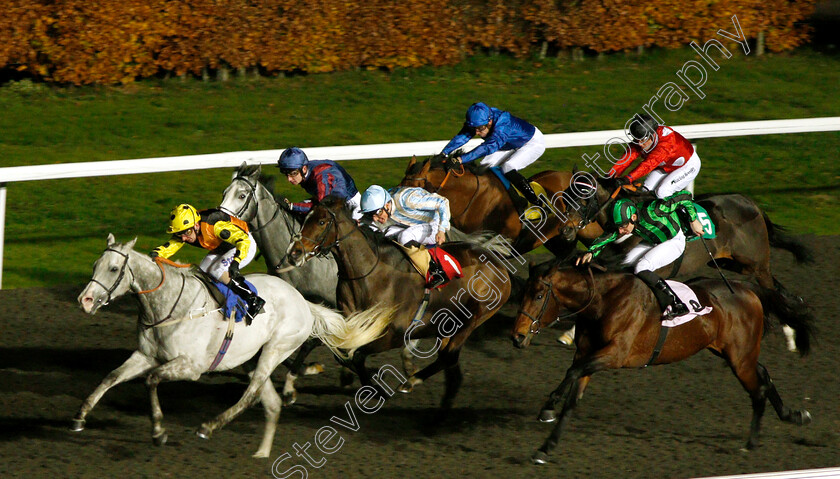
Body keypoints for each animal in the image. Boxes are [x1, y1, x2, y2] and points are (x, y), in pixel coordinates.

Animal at [74, 235, 390, 458]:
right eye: (94, 266)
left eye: (114, 268)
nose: (85, 301)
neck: (170, 306)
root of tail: (305, 303)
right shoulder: (145, 355)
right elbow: (110, 377)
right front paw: (80, 417)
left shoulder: (191, 367)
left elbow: (151, 380)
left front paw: (158, 431)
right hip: (249, 357)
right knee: (271, 403)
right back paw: (261, 454)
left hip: (275, 349)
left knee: (250, 396)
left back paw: (208, 427)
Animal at [288, 197, 512, 410]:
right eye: (305, 218)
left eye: (321, 221)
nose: (294, 253)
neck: (368, 273)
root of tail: (497, 261)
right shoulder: (350, 321)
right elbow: (319, 344)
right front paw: (292, 386)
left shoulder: (394, 334)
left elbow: (357, 356)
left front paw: (377, 391)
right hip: (448, 326)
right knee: (450, 366)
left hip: (471, 319)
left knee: (449, 357)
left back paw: (410, 382)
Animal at [512, 260, 812, 466]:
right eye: (522, 293)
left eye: (538, 295)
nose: (517, 337)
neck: (603, 301)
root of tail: (747, 288)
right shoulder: (588, 355)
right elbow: (572, 396)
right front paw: (545, 447)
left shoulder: (615, 354)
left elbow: (572, 373)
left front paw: (547, 408)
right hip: (734, 353)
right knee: (764, 374)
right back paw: (794, 414)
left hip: (740, 358)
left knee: (758, 389)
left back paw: (750, 443)